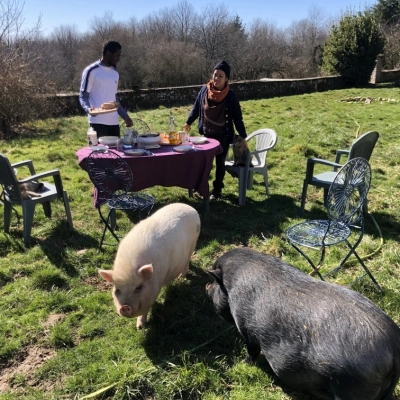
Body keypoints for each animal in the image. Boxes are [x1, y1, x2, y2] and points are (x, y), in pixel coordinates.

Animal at [206, 248, 400, 398]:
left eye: (214, 283)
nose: (206, 288)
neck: (232, 285)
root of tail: (393, 345)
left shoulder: (245, 327)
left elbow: (252, 350)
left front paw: (244, 363)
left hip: (349, 387)